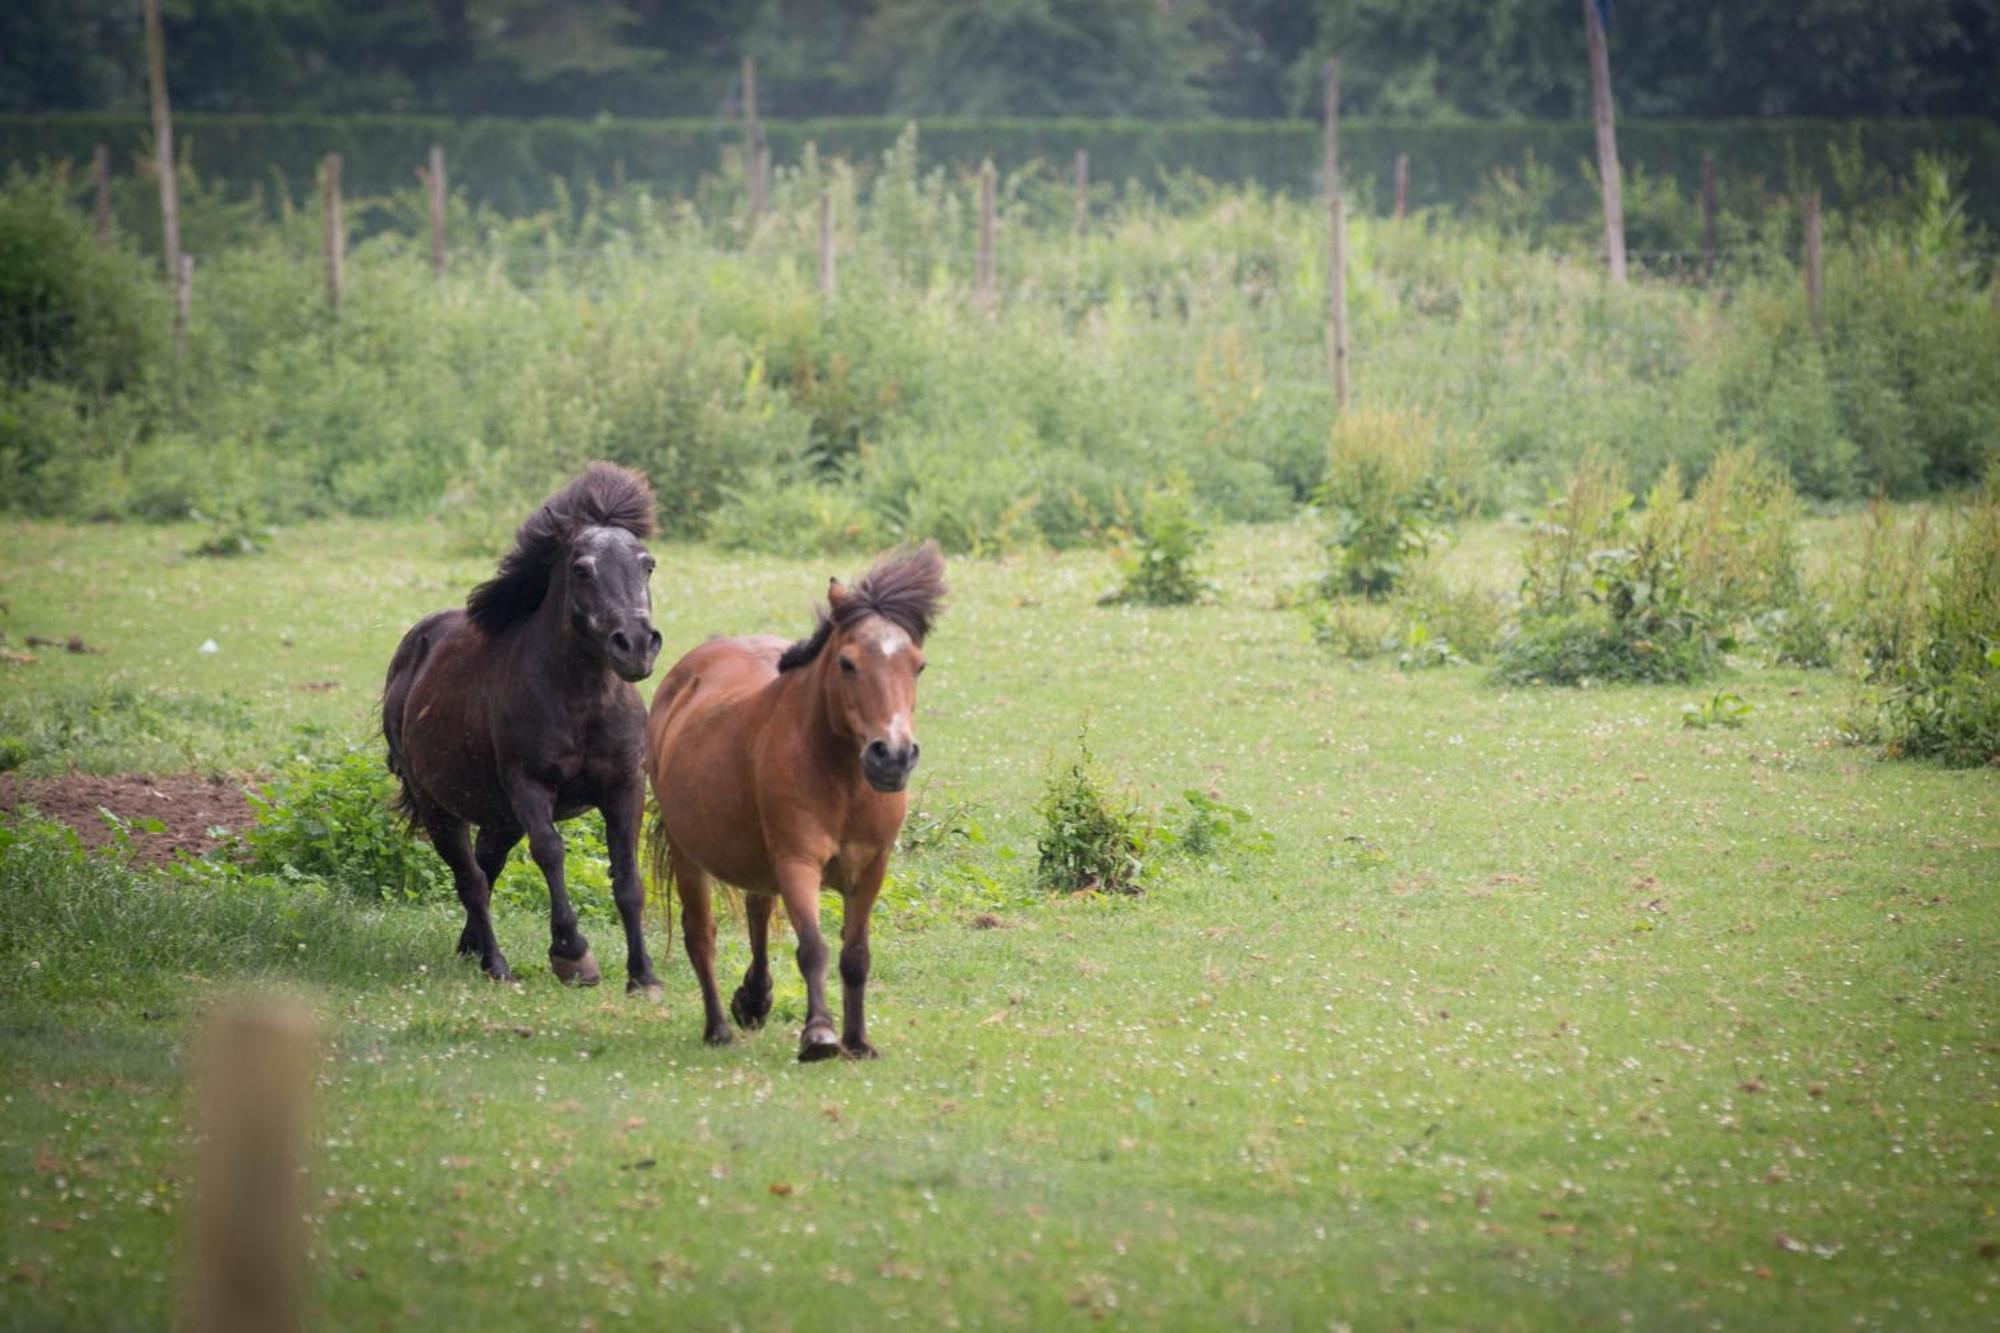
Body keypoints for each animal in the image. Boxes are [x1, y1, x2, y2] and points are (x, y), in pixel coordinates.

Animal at [386, 462, 668, 992]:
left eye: (647, 564)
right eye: (581, 569)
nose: (637, 646)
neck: (580, 701)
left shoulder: (624, 785)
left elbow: (627, 877)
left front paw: (643, 977)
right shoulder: (530, 785)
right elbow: (551, 853)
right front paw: (573, 954)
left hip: (498, 814)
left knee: (487, 865)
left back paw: (472, 948)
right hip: (440, 807)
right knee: (472, 879)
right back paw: (496, 964)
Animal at [648, 540, 944, 1056]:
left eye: (918, 665)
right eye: (847, 663)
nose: (892, 756)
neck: (843, 782)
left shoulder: (871, 869)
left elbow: (855, 955)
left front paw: (857, 1041)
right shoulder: (797, 860)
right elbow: (814, 947)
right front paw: (820, 1034)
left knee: (757, 910)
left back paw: (753, 998)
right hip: (689, 855)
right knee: (700, 935)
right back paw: (718, 1027)